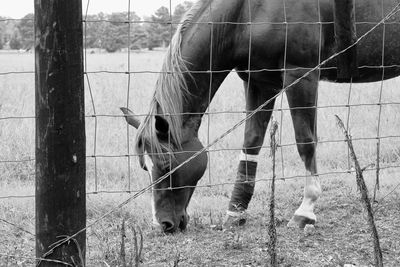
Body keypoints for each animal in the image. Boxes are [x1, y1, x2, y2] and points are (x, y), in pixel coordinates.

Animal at [120, 0, 400, 234]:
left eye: (167, 166)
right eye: (145, 167)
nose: (163, 224)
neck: (247, 11)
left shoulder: (301, 75)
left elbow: (305, 142)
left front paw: (305, 210)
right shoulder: (259, 81)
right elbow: (251, 143)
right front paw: (235, 211)